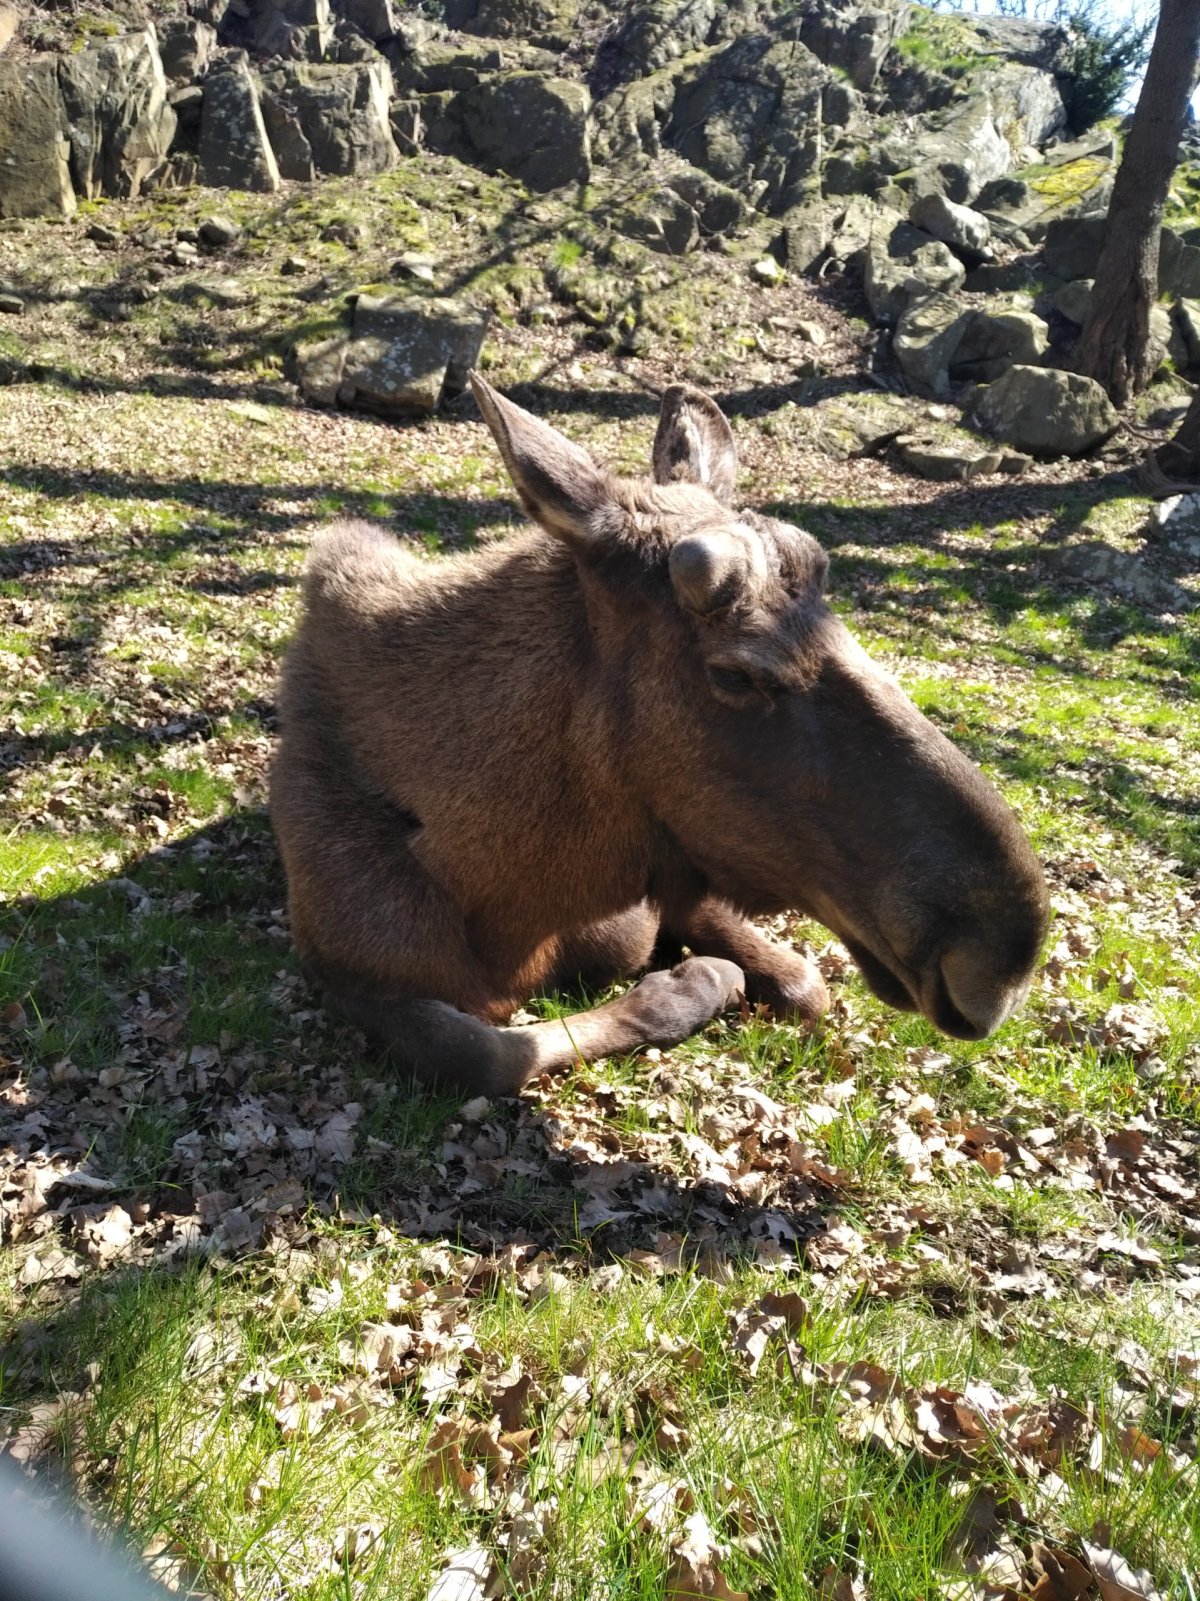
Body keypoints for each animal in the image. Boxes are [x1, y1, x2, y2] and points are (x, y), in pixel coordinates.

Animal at [275, 379, 1049, 1095]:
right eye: (733, 673)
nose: (1000, 953)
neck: (512, 905)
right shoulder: (349, 967)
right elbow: (488, 1053)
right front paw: (692, 983)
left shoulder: (676, 873)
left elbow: (807, 983)